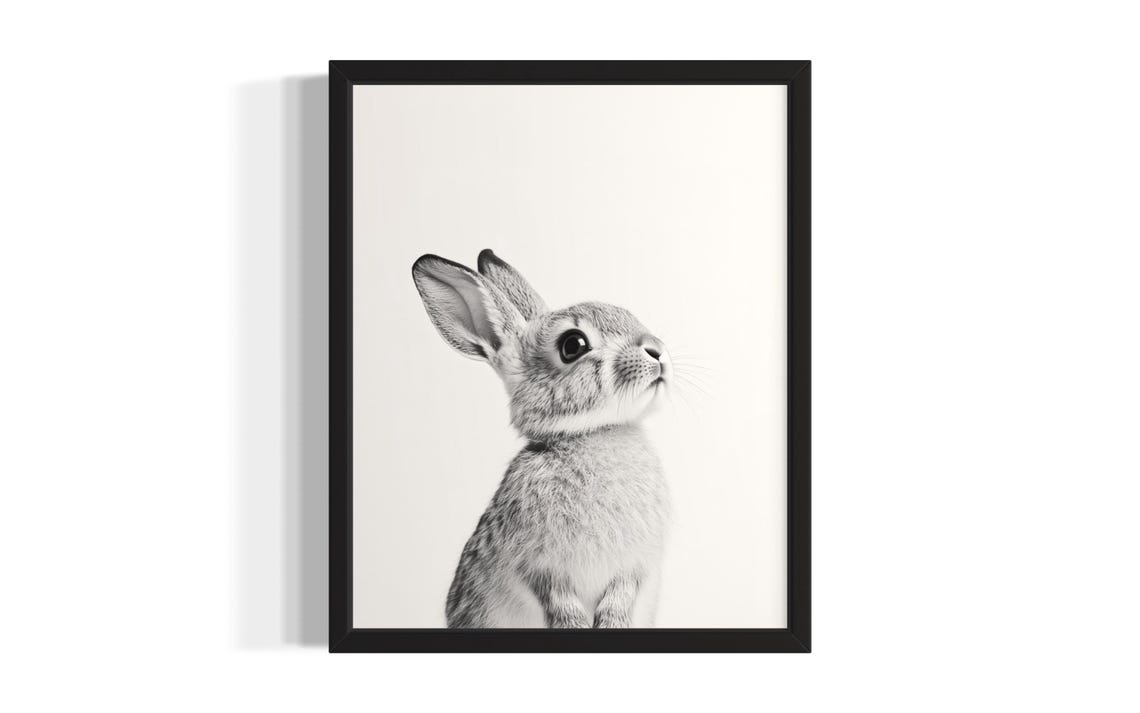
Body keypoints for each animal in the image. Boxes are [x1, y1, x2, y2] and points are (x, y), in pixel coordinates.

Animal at [412, 249, 671, 628]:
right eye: (573, 345)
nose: (657, 351)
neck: (593, 432)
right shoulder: (540, 566)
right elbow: (560, 600)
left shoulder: (634, 566)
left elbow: (620, 596)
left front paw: (612, 623)